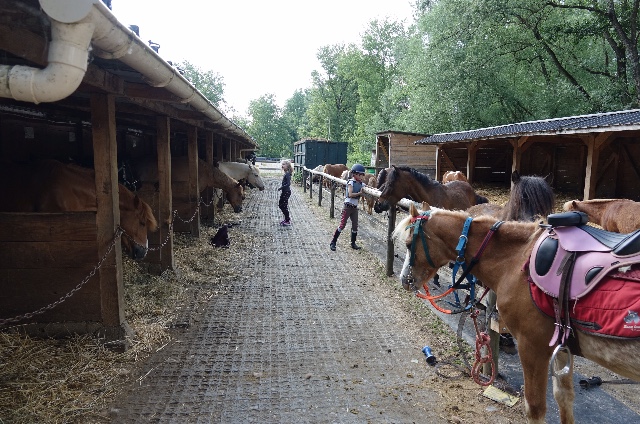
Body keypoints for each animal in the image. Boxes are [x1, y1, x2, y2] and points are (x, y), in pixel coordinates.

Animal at [394, 204, 640, 423]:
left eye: (408, 243)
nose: (404, 279)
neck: (517, 259)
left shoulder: (533, 347)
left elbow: (535, 409)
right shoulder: (561, 347)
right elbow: (564, 399)